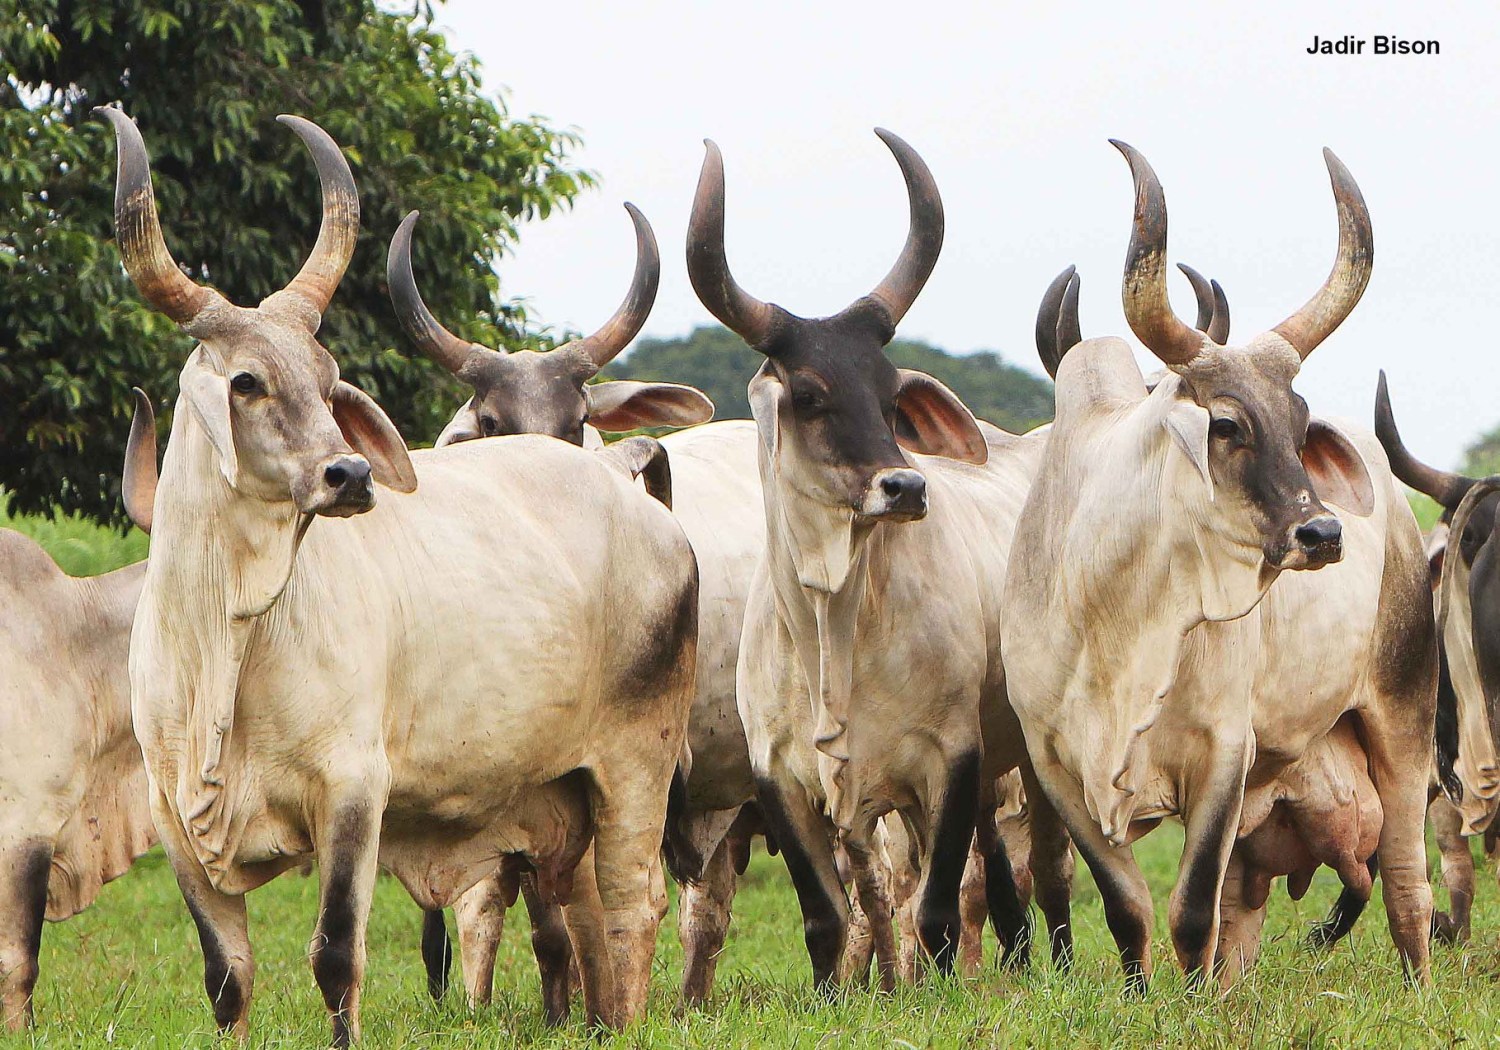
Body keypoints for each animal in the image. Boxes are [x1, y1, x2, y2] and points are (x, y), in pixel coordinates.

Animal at [99, 106, 696, 1044]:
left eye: (328, 379)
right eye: (247, 381)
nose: (349, 474)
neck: (229, 633)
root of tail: (639, 503)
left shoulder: (353, 792)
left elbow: (336, 957)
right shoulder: (172, 818)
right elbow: (227, 979)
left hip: (638, 761)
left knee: (633, 905)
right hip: (564, 794)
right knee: (585, 912)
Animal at [687, 127, 1074, 990]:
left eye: (892, 393)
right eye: (808, 393)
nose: (905, 485)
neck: (837, 622)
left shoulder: (953, 762)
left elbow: (934, 911)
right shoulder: (780, 779)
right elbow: (827, 918)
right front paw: (837, 992)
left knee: (1046, 873)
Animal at [1002, 141, 1434, 990]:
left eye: (1300, 423)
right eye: (1227, 425)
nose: (1322, 533)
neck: (1116, 612)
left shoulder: (1224, 752)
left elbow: (1190, 910)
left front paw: (1190, 1000)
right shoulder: (1057, 763)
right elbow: (1131, 909)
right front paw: (1144, 998)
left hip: (1405, 714)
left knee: (1406, 882)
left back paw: (1420, 990)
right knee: (1246, 906)